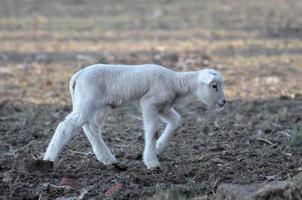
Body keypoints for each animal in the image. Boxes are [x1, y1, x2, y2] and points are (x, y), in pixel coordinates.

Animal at [43, 63, 225, 169]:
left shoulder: (164, 107)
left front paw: (159, 147)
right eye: (214, 86)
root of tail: (77, 76)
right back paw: (49, 158)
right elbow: (152, 130)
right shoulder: (149, 102)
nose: (224, 102)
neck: (176, 82)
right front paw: (152, 162)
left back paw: (107, 158)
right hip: (88, 100)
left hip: (100, 106)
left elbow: (176, 121)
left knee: (91, 127)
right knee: (66, 126)